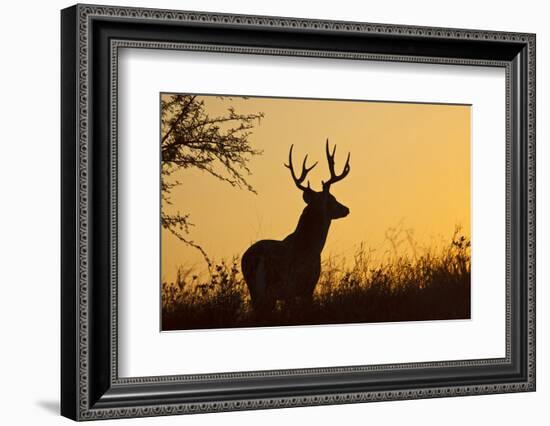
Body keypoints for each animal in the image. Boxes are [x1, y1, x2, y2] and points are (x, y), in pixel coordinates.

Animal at [243, 140, 354, 312]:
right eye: (332, 199)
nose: (346, 209)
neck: (311, 246)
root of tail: (257, 258)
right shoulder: (306, 286)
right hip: (278, 286)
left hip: (256, 291)